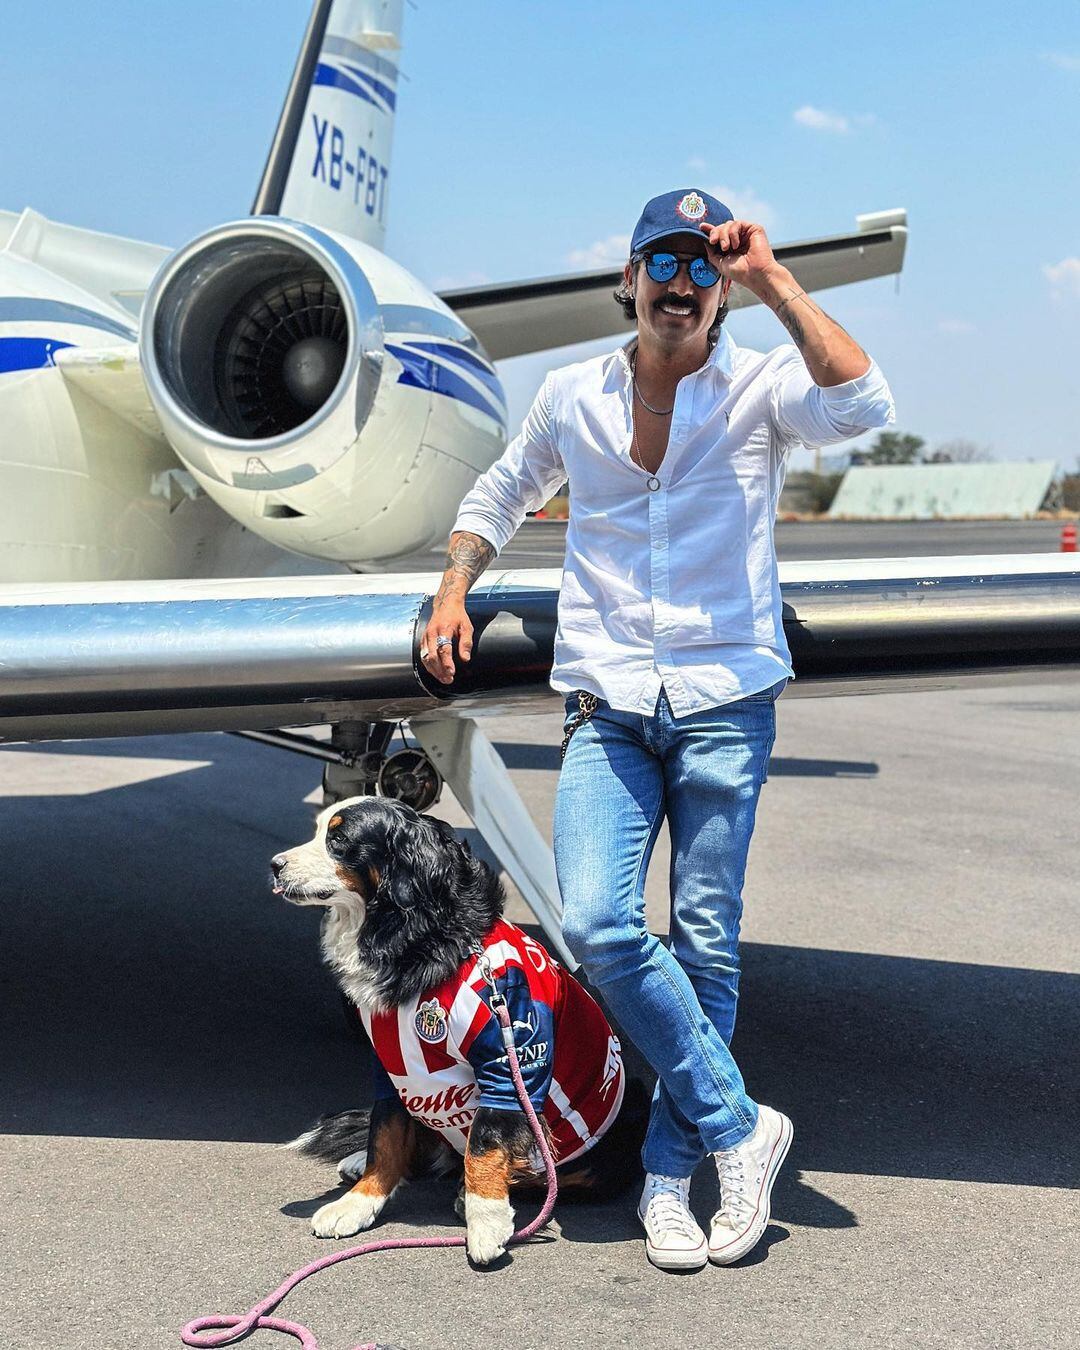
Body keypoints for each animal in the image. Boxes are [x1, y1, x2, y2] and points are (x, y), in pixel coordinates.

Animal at [272, 793, 642, 1258]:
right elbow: (384, 1135)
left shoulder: (508, 1059)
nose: (275, 865)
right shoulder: (392, 1062)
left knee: (539, 1173)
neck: (418, 937)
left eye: (338, 840)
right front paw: (361, 1201)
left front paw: (486, 1219)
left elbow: (484, 1144)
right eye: (319, 830)